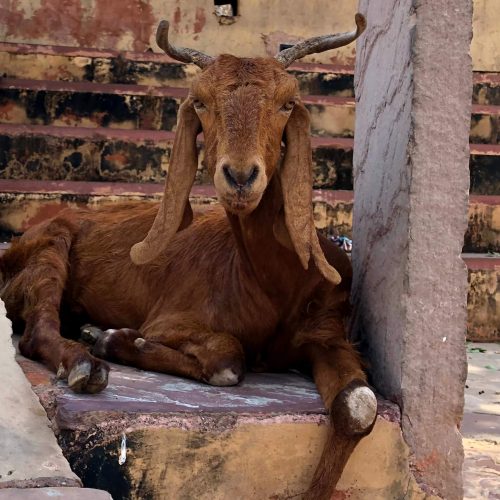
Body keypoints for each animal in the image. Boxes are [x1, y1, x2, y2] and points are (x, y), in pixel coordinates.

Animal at [0, 14, 376, 496]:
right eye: (200, 103)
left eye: (287, 104)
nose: (240, 176)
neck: (277, 286)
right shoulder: (172, 319)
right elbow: (227, 362)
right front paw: (117, 339)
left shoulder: (327, 331)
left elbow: (359, 404)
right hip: (50, 247)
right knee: (35, 331)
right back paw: (85, 359)